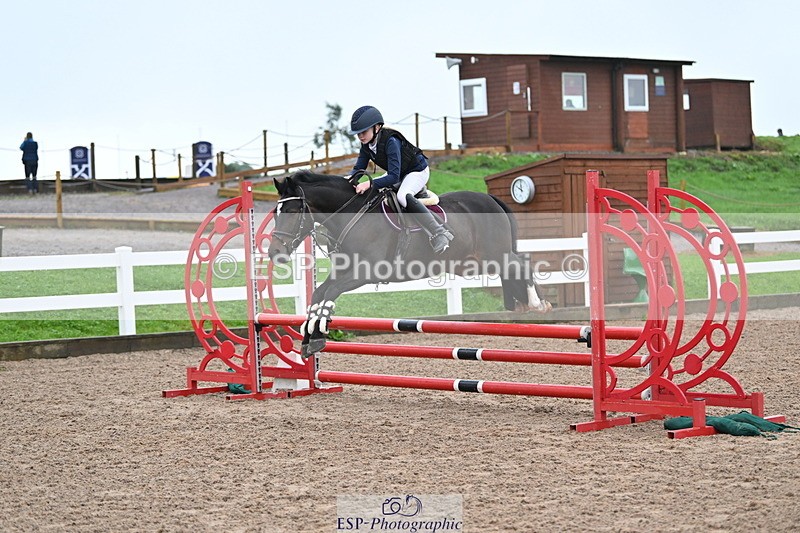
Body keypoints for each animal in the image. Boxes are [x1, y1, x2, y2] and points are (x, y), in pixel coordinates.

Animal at [267, 170, 552, 356]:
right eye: (275, 212)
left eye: (292, 211)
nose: (274, 252)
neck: (352, 214)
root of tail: (491, 199)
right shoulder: (343, 271)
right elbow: (318, 294)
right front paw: (309, 337)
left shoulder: (363, 272)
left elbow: (330, 293)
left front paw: (318, 334)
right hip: (475, 262)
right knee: (515, 269)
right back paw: (524, 305)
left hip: (495, 255)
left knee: (522, 264)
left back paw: (538, 304)